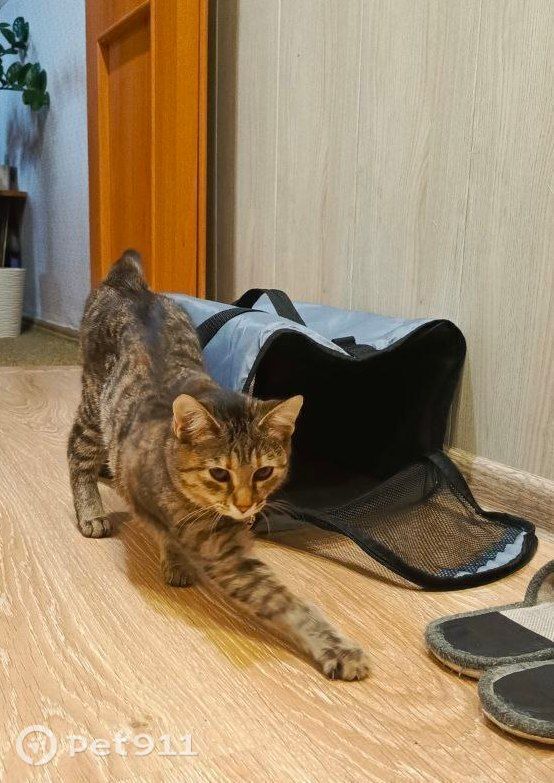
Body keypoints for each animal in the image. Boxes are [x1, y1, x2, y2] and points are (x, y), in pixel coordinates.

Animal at [67, 250, 369, 680]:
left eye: (264, 472)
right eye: (219, 473)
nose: (245, 505)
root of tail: (129, 285)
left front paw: (175, 558)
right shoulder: (223, 551)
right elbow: (283, 601)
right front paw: (337, 648)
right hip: (94, 409)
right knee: (76, 453)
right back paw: (90, 512)